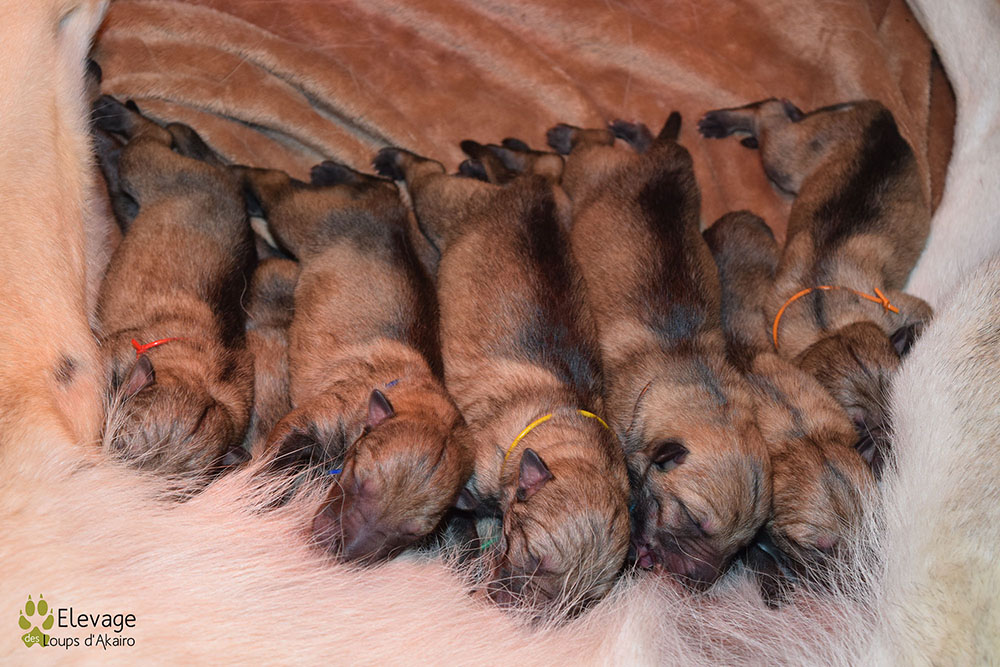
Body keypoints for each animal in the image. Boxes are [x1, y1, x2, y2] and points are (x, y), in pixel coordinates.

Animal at [375, 145, 631, 615]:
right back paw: (398, 159)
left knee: (544, 162)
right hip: (448, 205)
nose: (525, 617)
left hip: (556, 198)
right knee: (428, 174)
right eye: (533, 557)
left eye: (579, 604)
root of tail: (531, 192)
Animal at [546, 115, 771, 590]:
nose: (700, 583)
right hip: (588, 174)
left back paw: (637, 133)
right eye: (694, 519)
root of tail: (663, 159)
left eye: (742, 544)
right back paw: (568, 135)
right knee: (589, 144)